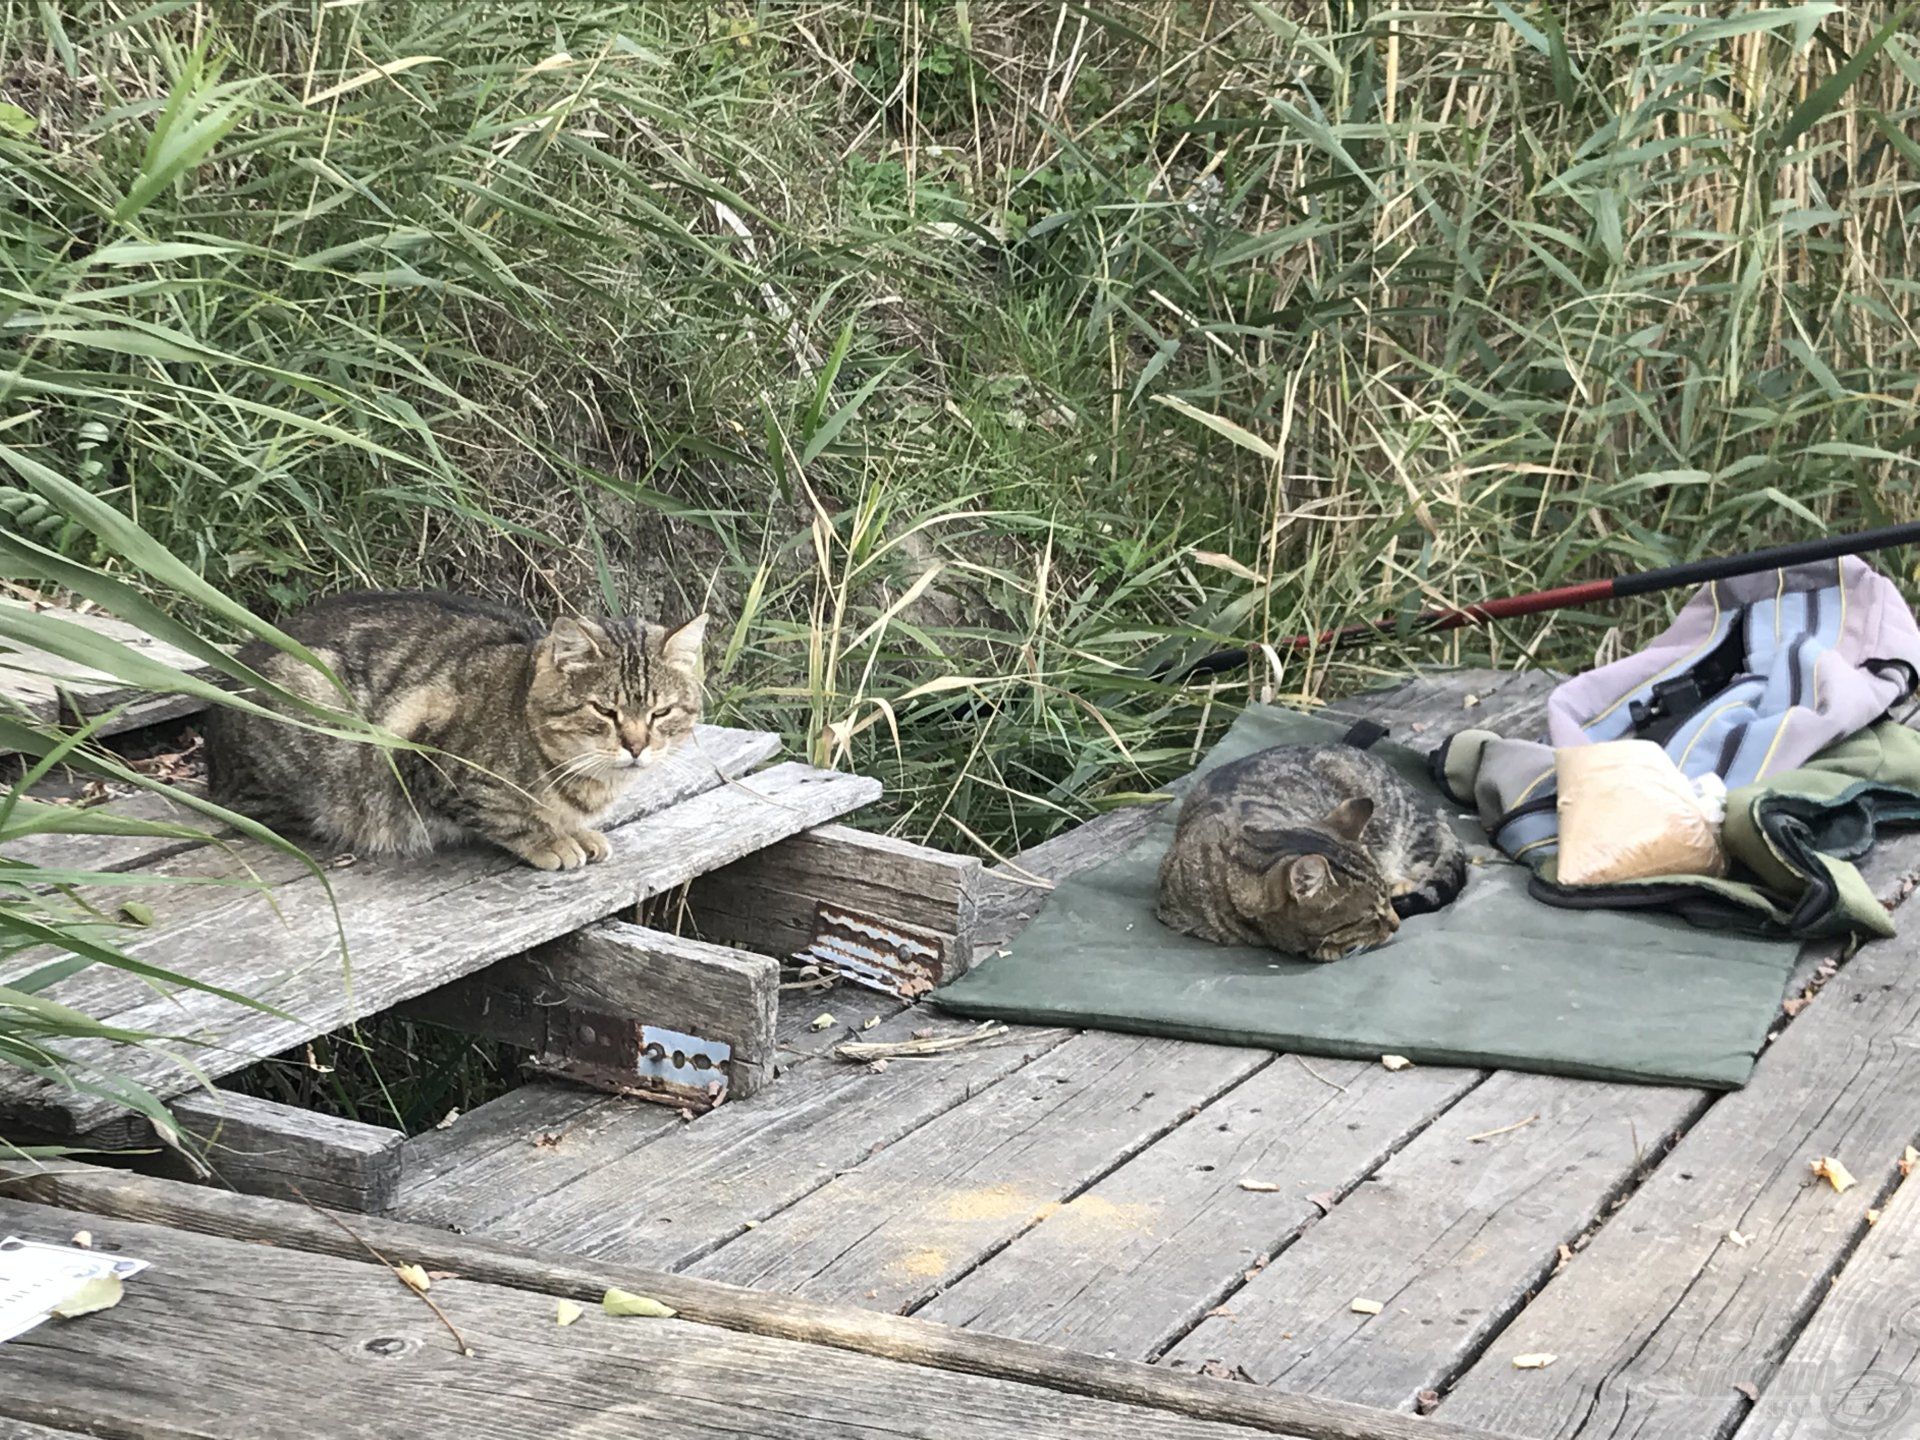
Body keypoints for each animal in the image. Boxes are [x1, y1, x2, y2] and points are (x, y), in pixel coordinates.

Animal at [204, 591, 714, 875]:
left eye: (662, 712)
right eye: (604, 710)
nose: (636, 746)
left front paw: (577, 831)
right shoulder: (422, 748)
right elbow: (506, 813)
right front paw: (550, 840)